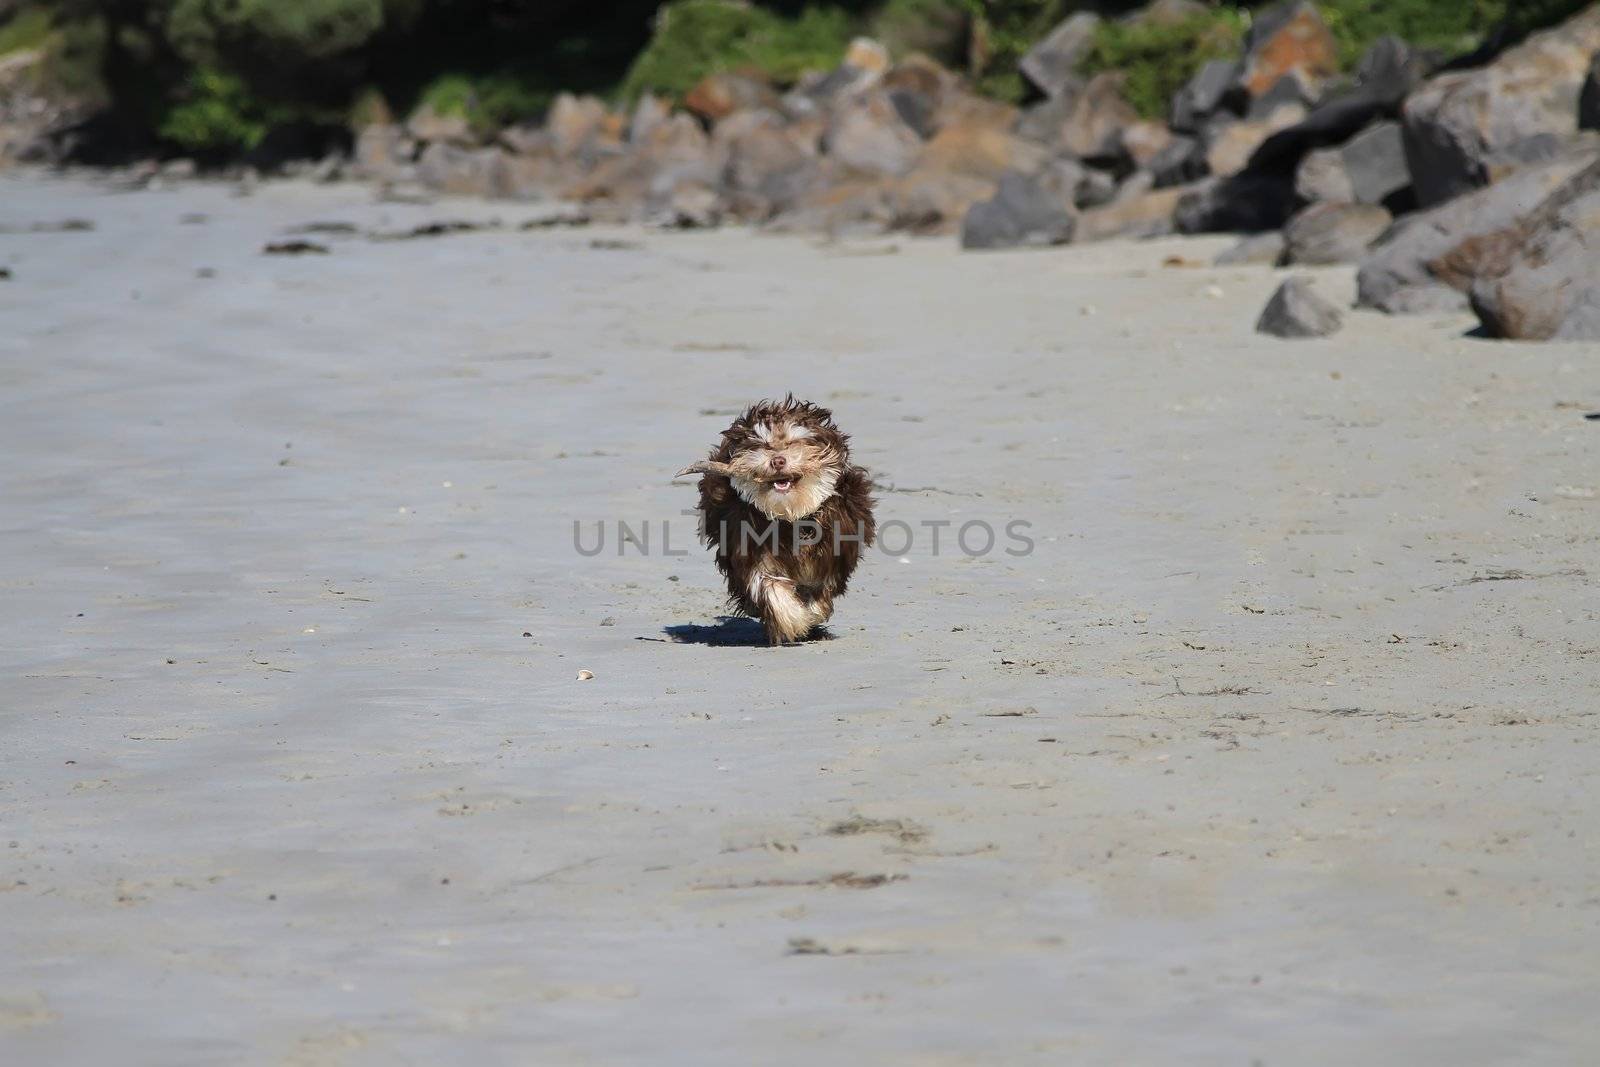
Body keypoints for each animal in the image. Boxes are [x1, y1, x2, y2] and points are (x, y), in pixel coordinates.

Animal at [675, 398, 876, 643]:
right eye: (764, 446)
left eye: (793, 443)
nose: (778, 461)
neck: (791, 516)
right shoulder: (751, 548)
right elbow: (770, 587)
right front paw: (793, 620)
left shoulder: (833, 551)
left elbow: (819, 590)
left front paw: (811, 614)